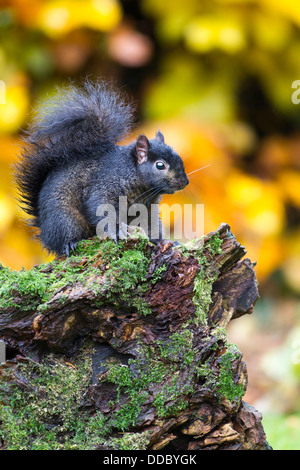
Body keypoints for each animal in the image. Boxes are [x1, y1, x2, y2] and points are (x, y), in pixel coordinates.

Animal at [15, 81, 189, 258]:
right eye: (160, 165)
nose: (184, 182)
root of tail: (44, 230)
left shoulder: (147, 209)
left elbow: (151, 227)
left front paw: (165, 242)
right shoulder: (105, 186)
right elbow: (101, 208)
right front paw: (118, 231)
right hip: (65, 219)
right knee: (63, 238)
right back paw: (69, 243)